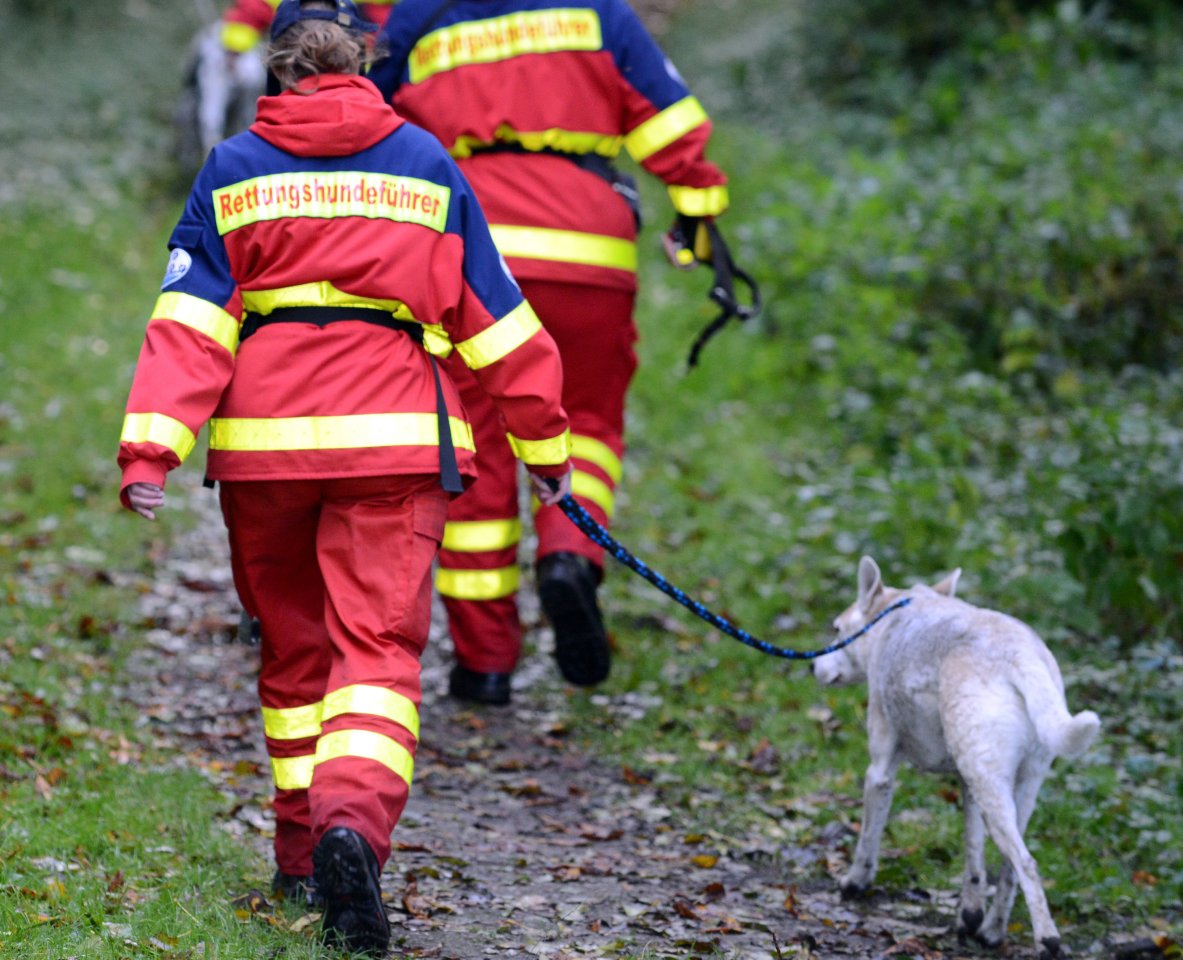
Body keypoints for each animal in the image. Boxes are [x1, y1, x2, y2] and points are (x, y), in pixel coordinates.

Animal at [813, 556, 1097, 960]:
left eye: (837, 629)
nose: (812, 666)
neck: (894, 615)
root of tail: (1020, 655)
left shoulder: (880, 770)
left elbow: (868, 837)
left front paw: (854, 883)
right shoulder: (967, 786)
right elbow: (973, 858)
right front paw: (970, 917)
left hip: (994, 790)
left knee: (1025, 863)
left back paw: (1047, 941)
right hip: (1015, 786)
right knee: (1011, 866)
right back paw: (992, 933)